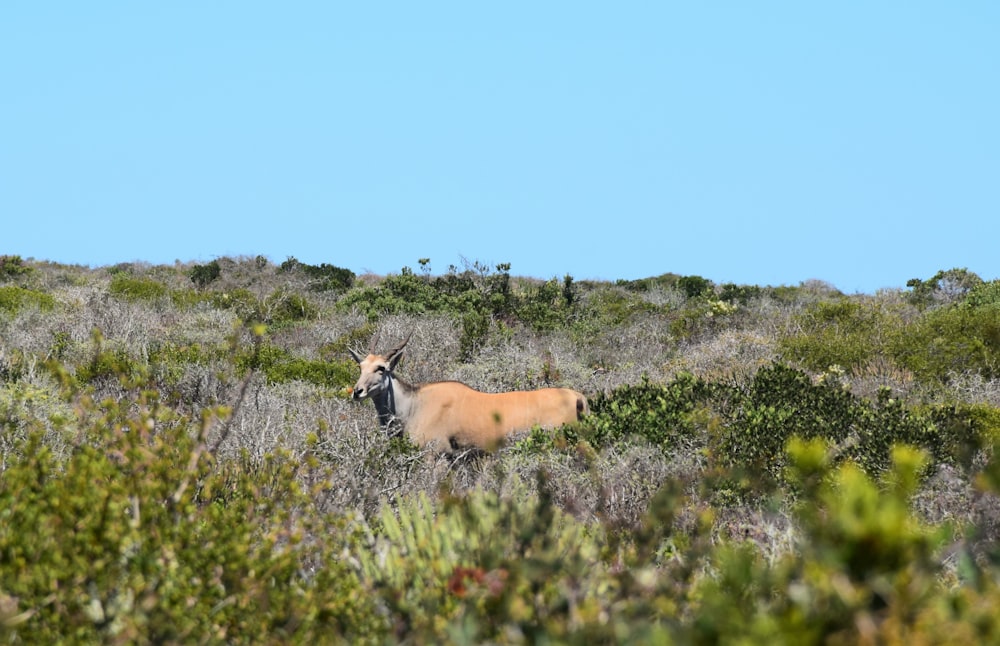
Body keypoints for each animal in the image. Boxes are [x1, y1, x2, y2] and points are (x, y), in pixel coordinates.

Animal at [350, 336, 588, 454]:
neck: (414, 405)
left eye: (381, 368)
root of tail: (577, 396)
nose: (357, 391)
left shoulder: (436, 454)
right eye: (360, 367)